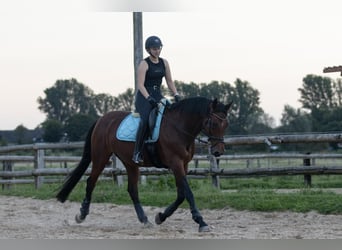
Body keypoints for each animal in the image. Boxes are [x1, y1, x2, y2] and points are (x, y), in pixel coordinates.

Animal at [56, 96, 232, 232]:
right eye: (213, 124)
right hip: (101, 157)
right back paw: (81, 215)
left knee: (132, 190)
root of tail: (102, 119)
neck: (179, 127)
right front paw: (201, 221)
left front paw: (160, 217)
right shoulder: (175, 163)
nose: (218, 152)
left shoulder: (183, 165)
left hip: (130, 163)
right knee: (90, 182)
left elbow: (181, 194)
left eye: (226, 125)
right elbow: (188, 193)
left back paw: (144, 219)